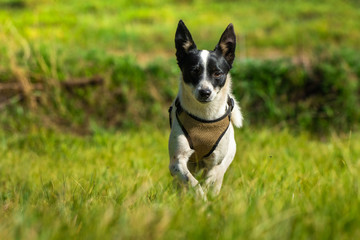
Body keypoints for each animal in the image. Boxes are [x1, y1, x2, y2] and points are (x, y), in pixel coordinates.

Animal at [168, 19, 242, 199]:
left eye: (217, 73)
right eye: (194, 71)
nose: (205, 92)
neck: (204, 117)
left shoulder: (215, 161)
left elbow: (211, 178)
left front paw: (206, 194)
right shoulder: (176, 162)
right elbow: (192, 182)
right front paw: (200, 197)